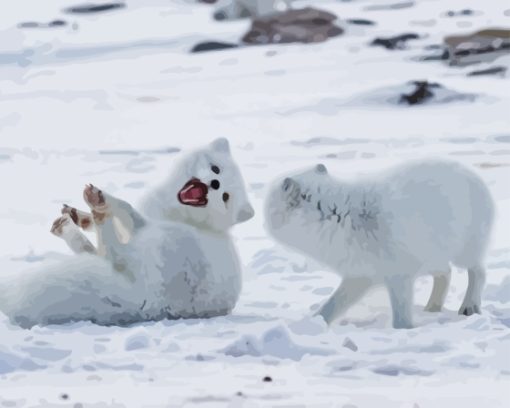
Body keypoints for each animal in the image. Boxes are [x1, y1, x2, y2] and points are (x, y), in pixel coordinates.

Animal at [0, 138, 254, 328]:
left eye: (225, 197)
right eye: (216, 169)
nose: (214, 183)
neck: (181, 216)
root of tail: (150, 304)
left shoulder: (143, 224)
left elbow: (127, 209)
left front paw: (99, 205)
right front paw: (82, 216)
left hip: (158, 244)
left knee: (113, 252)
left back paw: (96, 209)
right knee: (98, 252)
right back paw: (71, 222)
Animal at [266, 159, 494, 328]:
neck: (339, 216)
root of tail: (475, 175)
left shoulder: (399, 275)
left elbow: (401, 313)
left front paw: (404, 330)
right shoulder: (358, 275)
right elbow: (333, 304)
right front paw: (314, 323)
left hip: (465, 251)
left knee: (478, 272)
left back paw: (469, 307)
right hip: (433, 257)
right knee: (446, 273)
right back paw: (432, 307)